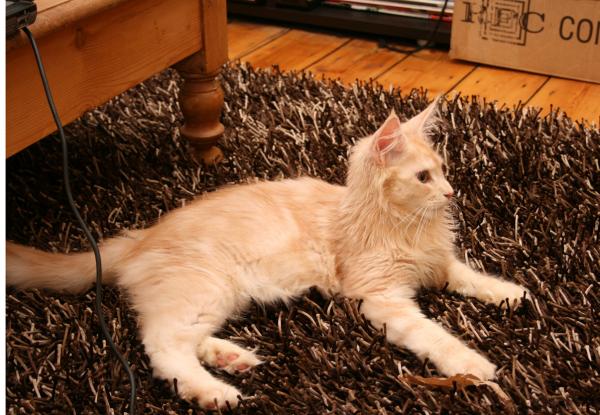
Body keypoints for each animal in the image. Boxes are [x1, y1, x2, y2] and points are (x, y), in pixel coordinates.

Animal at [4, 102, 528, 412]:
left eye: (443, 170)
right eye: (423, 177)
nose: (451, 193)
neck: (400, 225)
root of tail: (138, 238)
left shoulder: (438, 266)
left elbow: (472, 277)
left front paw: (511, 294)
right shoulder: (383, 297)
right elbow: (436, 337)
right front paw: (474, 367)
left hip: (219, 299)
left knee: (182, 340)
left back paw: (231, 358)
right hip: (204, 290)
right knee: (162, 348)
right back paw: (215, 391)